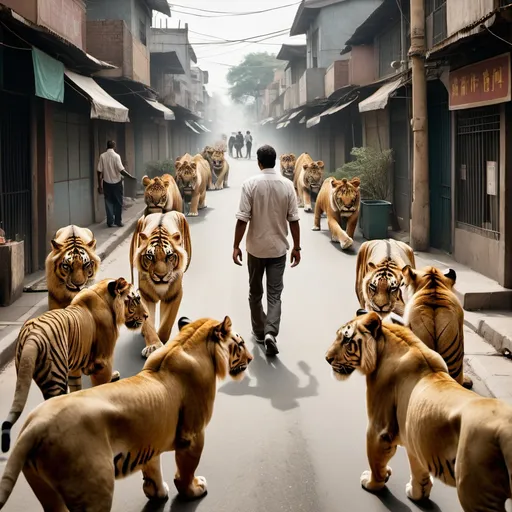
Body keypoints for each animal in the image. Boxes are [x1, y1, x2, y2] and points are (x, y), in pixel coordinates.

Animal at [0, 316, 252, 508]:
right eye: (239, 344)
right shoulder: (193, 435)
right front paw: (193, 490)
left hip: (47, 492)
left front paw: (156, 492)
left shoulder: (150, 437)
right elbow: (186, 470)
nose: (250, 359)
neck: (185, 344)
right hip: (94, 489)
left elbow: (153, 466)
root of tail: (34, 426)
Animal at [1, 278, 151, 454]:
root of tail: (32, 335)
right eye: (136, 299)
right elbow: (101, 388)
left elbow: (76, 387)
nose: (147, 316)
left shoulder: (73, 367)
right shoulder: (102, 362)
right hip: (56, 379)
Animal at [129, 212, 193, 356]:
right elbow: (148, 322)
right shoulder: (145, 295)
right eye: (150, 256)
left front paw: (162, 341)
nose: (161, 276)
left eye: (169, 256)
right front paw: (153, 345)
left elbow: (167, 322)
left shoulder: (174, 295)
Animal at [326, 308, 512, 512]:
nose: (327, 359)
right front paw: (417, 495)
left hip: (475, 493)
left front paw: (372, 483)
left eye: (346, 340)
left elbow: (376, 462)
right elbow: (419, 473)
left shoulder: (379, 430)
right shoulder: (416, 439)